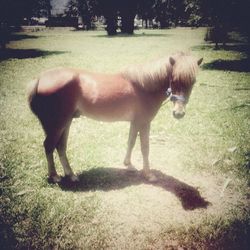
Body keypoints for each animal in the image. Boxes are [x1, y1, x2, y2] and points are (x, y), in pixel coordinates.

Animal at [27, 51, 203, 183]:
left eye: (193, 82)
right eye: (173, 80)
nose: (179, 113)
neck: (144, 86)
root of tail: (39, 80)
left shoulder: (135, 122)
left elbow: (131, 142)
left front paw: (129, 165)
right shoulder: (144, 123)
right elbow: (145, 147)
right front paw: (148, 174)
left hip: (66, 122)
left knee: (60, 147)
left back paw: (71, 175)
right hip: (58, 124)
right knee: (49, 145)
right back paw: (55, 176)